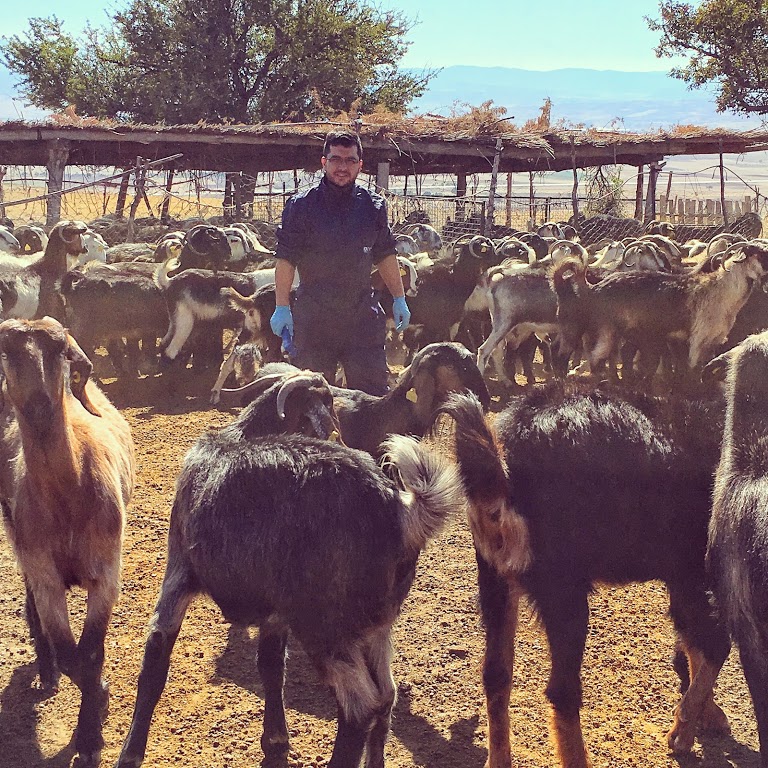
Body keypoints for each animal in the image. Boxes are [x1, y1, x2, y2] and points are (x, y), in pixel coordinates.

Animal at [0, 316, 135, 764]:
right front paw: (96, 713)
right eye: (6, 350)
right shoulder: (46, 577)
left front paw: (91, 737)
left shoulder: (106, 574)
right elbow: (70, 655)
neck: (67, 494)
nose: (40, 406)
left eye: (59, 350)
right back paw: (46, 671)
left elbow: (89, 656)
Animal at [115, 424, 462, 764]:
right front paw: (276, 740)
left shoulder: (177, 576)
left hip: (324, 628)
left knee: (360, 706)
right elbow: (271, 666)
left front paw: (130, 753)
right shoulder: (275, 615)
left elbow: (155, 656)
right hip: (375, 627)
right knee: (387, 695)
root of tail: (399, 511)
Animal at [440, 384, 728, 768]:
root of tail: (502, 466)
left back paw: (499, 759)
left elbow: (693, 640)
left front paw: (705, 716)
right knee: (562, 691)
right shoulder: (695, 572)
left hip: (495, 581)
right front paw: (683, 731)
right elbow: (710, 644)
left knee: (496, 675)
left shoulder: (680, 575)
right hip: (563, 591)